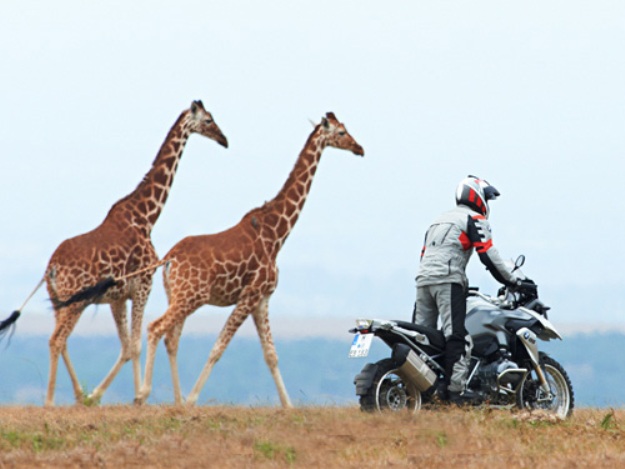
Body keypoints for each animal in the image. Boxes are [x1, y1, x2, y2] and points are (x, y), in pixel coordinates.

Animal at [0, 99, 228, 406]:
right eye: (208, 120)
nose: (224, 140)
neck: (145, 217)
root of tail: (51, 268)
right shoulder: (144, 286)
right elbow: (135, 344)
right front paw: (138, 397)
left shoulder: (118, 297)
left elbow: (126, 346)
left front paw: (98, 395)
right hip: (74, 300)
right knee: (56, 339)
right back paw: (49, 401)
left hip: (60, 299)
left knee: (62, 340)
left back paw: (78, 394)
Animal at [134, 110, 364, 406]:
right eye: (341, 133)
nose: (359, 148)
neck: (277, 233)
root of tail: (170, 258)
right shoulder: (250, 295)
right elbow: (218, 347)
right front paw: (193, 400)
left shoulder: (262, 299)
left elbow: (271, 355)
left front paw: (288, 406)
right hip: (190, 296)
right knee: (155, 327)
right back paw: (144, 395)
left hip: (177, 295)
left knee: (171, 338)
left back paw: (173, 400)